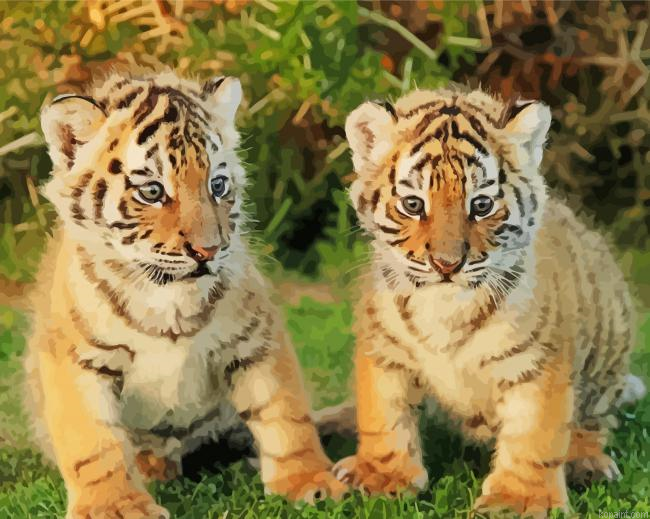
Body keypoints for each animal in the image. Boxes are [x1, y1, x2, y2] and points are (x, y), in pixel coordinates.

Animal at [24, 69, 347, 519]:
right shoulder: (76, 357)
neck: (166, 296)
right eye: (152, 192)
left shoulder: (257, 337)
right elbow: (92, 443)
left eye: (218, 185)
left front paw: (309, 479)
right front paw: (115, 505)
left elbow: (285, 412)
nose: (208, 251)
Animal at [332, 86, 645, 517]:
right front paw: (382, 476)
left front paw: (519, 499)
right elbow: (384, 415)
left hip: (608, 349)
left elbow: (535, 433)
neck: (445, 309)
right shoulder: (384, 349)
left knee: (594, 421)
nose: (447, 264)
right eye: (413, 205)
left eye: (481, 205)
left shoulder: (538, 362)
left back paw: (587, 462)